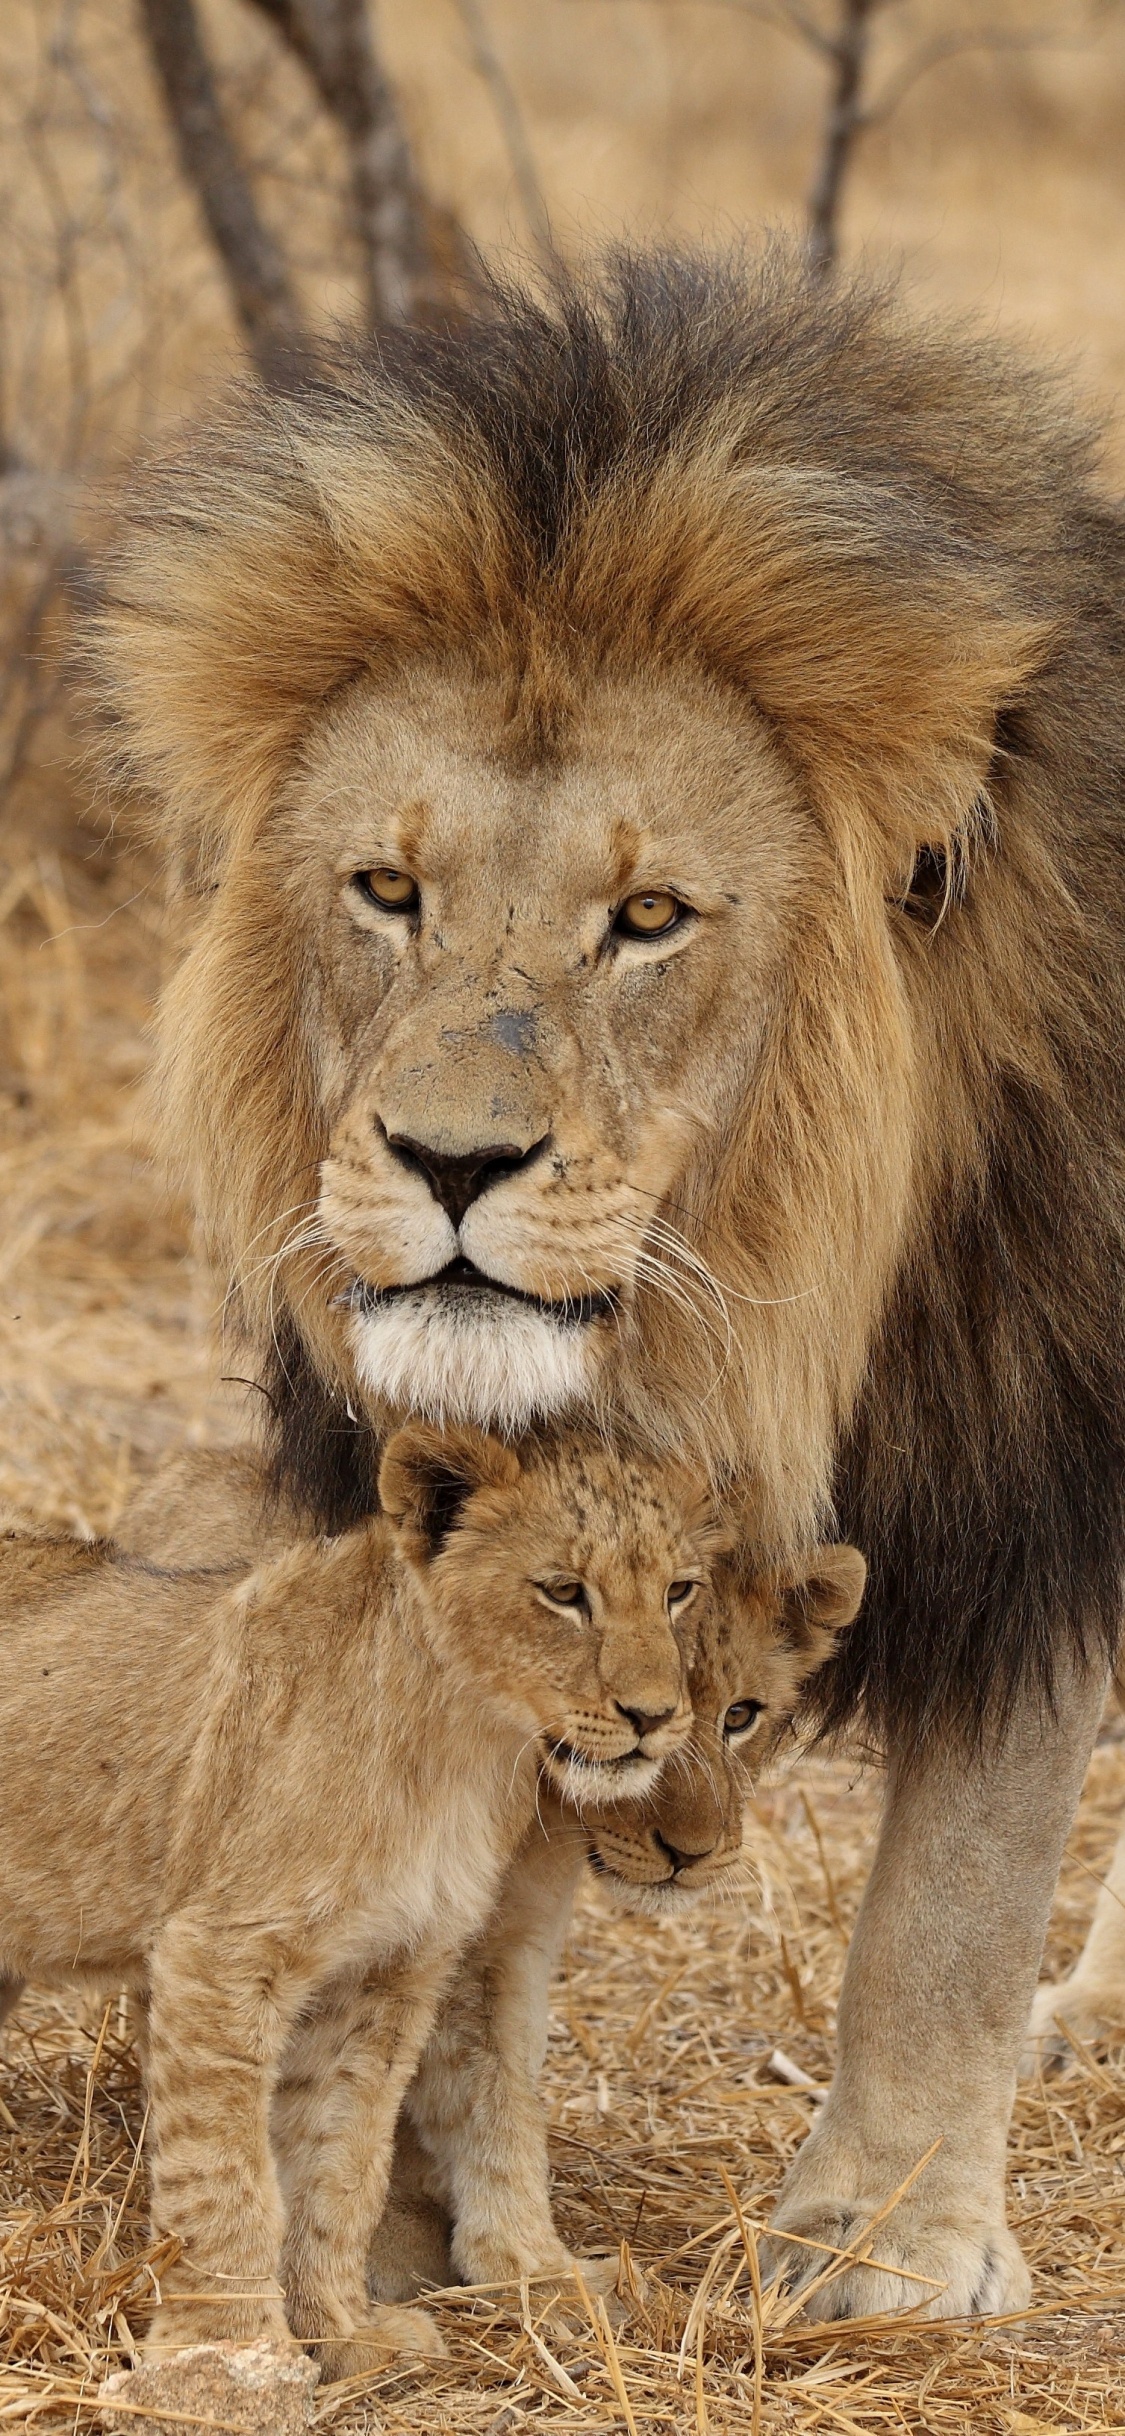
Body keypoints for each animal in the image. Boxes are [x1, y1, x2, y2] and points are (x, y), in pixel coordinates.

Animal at [0, 1425, 722, 2373]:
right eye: (565, 1593)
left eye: (679, 1591)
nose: (655, 1716)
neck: (463, 1744)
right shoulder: (219, 1952)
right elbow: (228, 2177)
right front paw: (233, 2353)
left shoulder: (393, 1969)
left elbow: (340, 2164)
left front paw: (342, 2334)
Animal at [91, 246, 1125, 2315]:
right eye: (385, 891)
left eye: (648, 920)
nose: (449, 1163)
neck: (754, 1316)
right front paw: (385, 2214)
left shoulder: (1033, 1470)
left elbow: (959, 1896)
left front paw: (884, 2250)